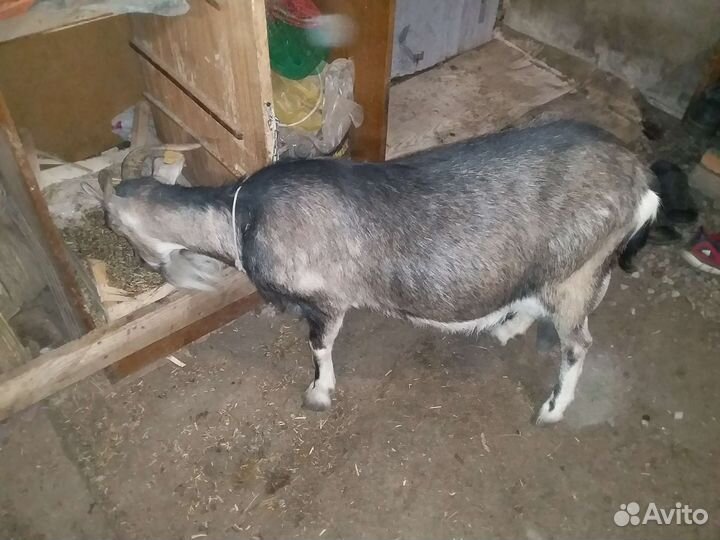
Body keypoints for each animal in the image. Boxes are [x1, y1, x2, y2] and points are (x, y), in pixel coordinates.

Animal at [92, 120, 659, 424]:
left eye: (111, 223)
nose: (146, 266)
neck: (242, 214)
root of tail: (642, 184)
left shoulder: (326, 299)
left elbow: (320, 348)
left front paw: (318, 394)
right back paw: (506, 329)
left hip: (577, 273)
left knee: (577, 343)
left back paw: (552, 410)